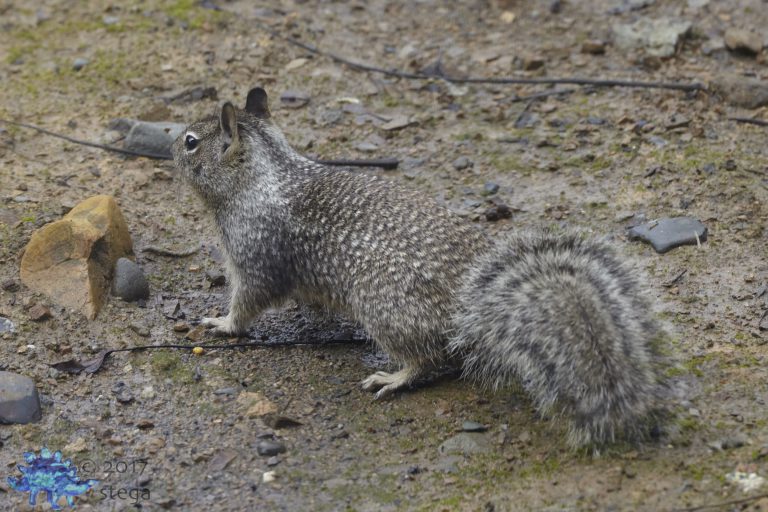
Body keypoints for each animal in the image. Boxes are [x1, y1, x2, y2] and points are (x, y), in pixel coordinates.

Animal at [171, 87, 667, 448]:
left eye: (192, 142)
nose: (171, 143)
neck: (263, 173)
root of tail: (477, 306)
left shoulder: (254, 252)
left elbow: (249, 300)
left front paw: (222, 323)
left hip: (384, 309)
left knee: (430, 359)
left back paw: (393, 377)